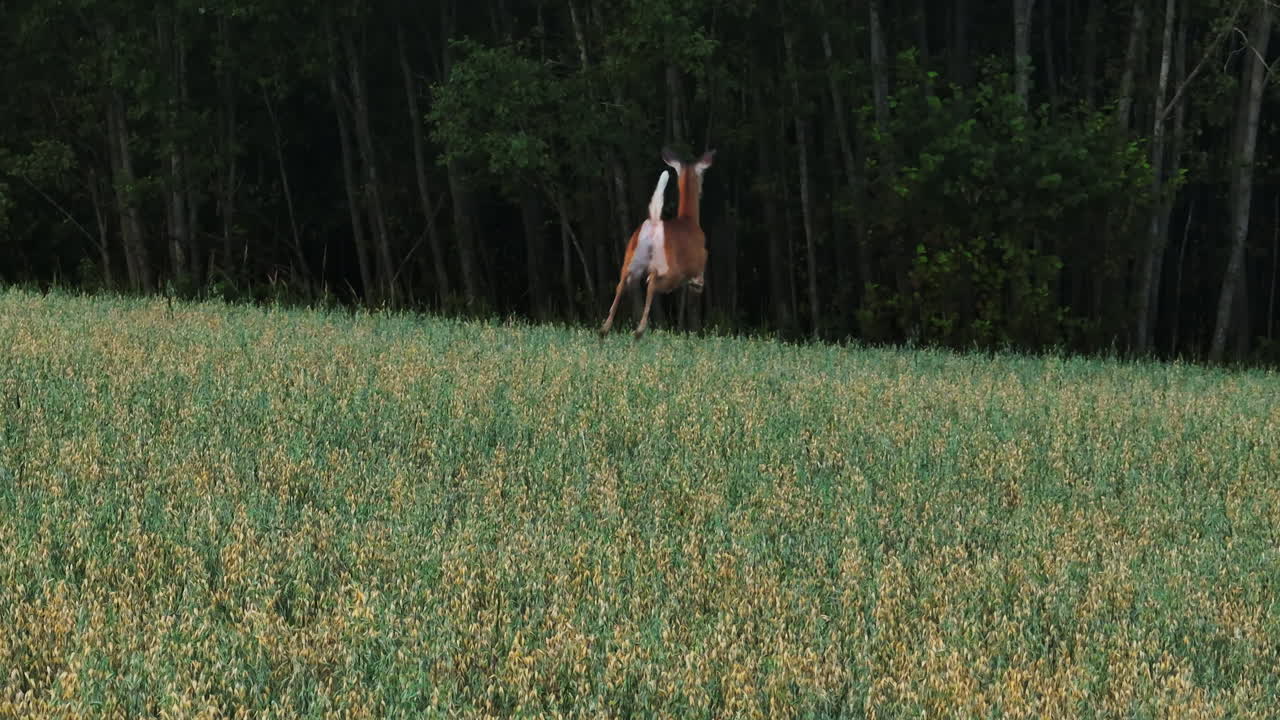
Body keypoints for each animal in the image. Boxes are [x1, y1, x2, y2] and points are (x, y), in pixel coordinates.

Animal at [599, 147, 716, 338]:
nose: (702, 192)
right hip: (670, 269)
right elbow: (695, 294)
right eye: (702, 177)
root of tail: (654, 223)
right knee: (651, 282)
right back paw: (639, 330)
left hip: (630, 255)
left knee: (621, 284)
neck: (689, 220)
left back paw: (605, 328)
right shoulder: (698, 268)